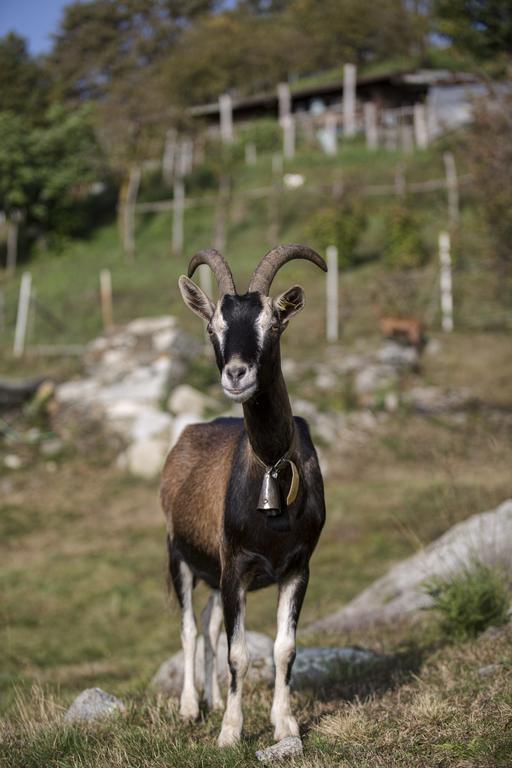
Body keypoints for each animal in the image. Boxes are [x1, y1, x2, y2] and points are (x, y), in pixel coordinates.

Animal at [160, 244, 326, 744]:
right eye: (213, 326)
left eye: (272, 322)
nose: (236, 374)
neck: (271, 467)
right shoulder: (236, 566)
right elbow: (239, 654)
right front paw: (231, 733)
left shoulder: (296, 567)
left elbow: (284, 648)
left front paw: (285, 725)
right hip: (179, 556)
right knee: (191, 630)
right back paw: (191, 708)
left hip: (215, 575)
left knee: (210, 625)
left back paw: (213, 701)